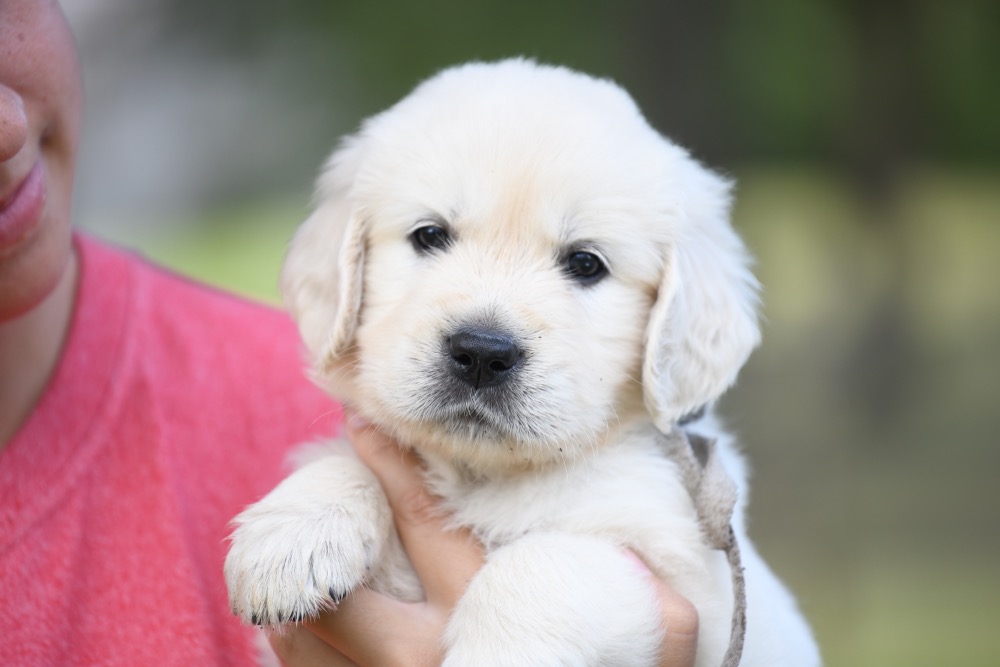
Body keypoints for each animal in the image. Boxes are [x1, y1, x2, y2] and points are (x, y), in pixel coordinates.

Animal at [225, 60, 820, 664]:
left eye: (586, 263)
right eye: (429, 235)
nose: (482, 353)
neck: (483, 475)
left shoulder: (686, 576)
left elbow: (543, 563)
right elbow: (345, 461)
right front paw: (294, 535)